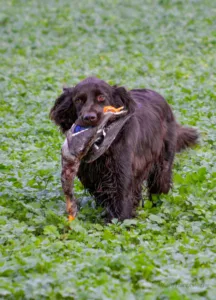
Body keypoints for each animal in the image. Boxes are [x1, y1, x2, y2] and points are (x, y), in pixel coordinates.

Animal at [49, 77, 198, 220]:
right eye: (78, 100)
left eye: (101, 97)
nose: (89, 117)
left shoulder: (121, 185)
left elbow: (120, 216)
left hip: (162, 169)